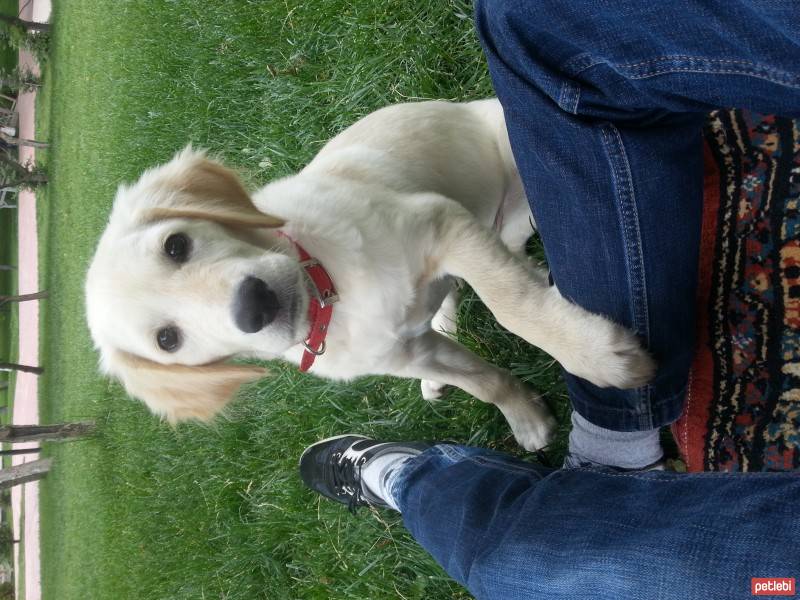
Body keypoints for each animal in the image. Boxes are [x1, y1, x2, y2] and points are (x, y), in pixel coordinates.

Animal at [84, 98, 652, 448]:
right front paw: (527, 418)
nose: (254, 304)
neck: (330, 291)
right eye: (168, 340)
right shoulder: (405, 352)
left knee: (513, 254)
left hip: (513, 179)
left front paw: (596, 356)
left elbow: (511, 304)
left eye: (176, 245)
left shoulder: (438, 223)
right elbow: (485, 383)